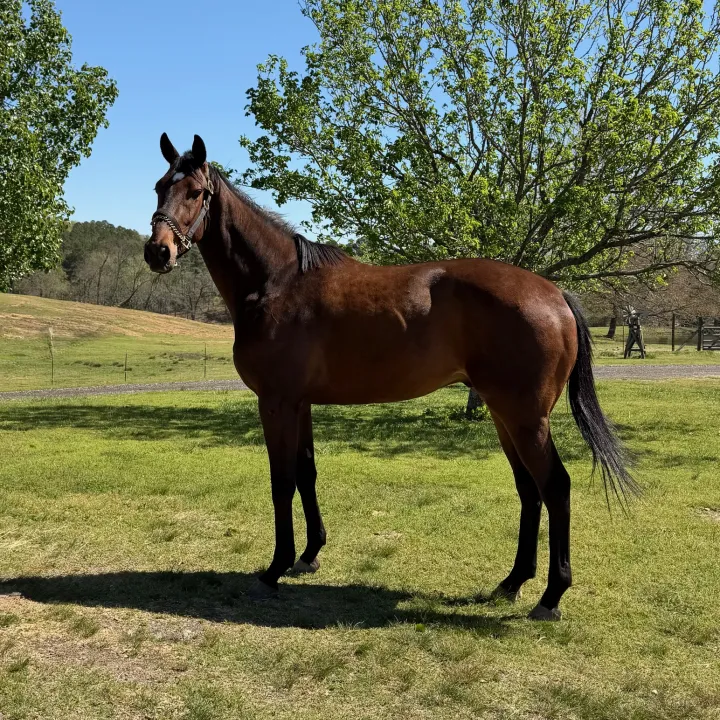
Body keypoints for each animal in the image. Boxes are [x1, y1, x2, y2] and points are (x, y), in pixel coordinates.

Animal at [144, 133, 637, 621]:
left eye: (196, 193)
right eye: (159, 187)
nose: (157, 251)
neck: (277, 283)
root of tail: (555, 293)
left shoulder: (276, 402)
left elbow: (281, 480)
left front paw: (276, 567)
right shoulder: (300, 403)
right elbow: (306, 472)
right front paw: (309, 555)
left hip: (525, 419)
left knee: (555, 487)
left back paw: (551, 597)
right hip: (505, 416)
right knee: (529, 490)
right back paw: (512, 582)